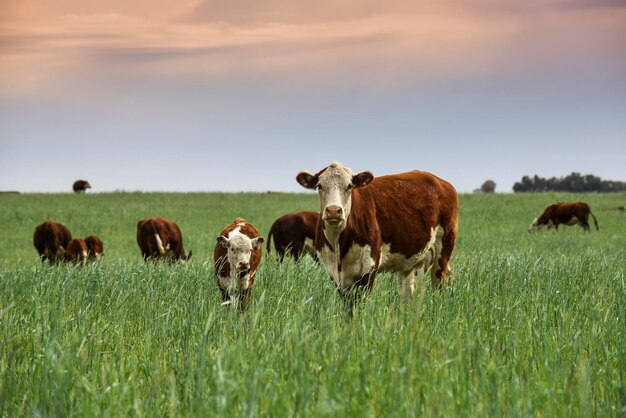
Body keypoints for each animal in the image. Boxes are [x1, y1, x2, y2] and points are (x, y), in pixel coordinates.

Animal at [294, 162, 456, 308]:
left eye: (349, 186)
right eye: (319, 186)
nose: (333, 210)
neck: (339, 245)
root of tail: (439, 181)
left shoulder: (369, 266)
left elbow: (361, 303)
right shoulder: (334, 271)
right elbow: (348, 307)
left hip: (444, 251)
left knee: (439, 288)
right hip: (408, 263)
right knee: (408, 293)